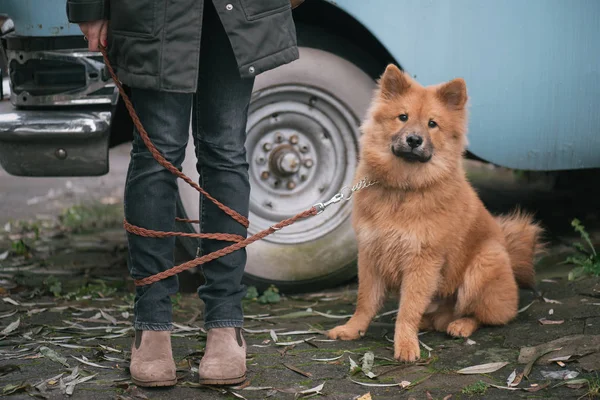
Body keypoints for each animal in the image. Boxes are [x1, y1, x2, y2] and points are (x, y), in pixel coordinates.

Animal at [328, 65, 544, 362]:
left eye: (432, 124)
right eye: (403, 117)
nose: (414, 140)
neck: (404, 188)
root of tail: (511, 259)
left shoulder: (422, 261)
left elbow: (408, 309)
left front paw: (405, 344)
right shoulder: (371, 254)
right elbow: (365, 301)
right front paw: (353, 329)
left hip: (483, 264)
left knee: (485, 315)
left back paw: (461, 324)